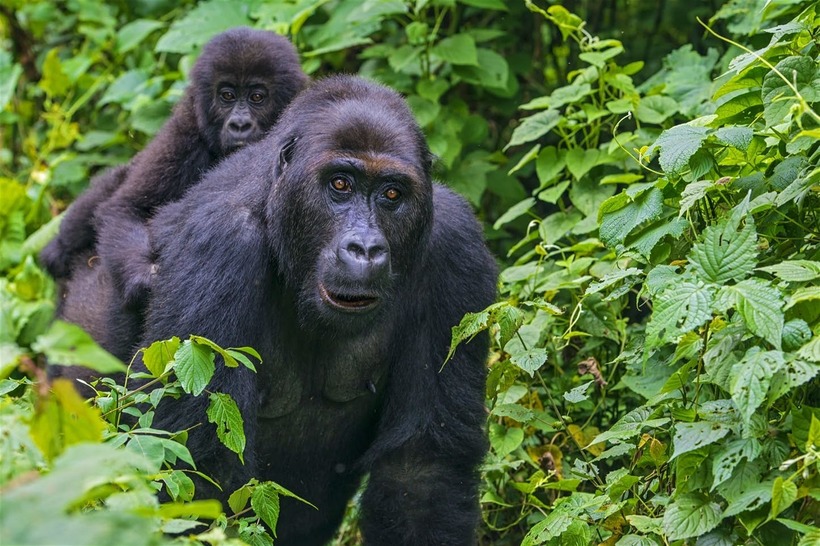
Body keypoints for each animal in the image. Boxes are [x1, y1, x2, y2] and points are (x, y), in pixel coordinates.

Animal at [139, 74, 496, 540]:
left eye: (392, 194)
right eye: (340, 185)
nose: (365, 248)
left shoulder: (457, 249)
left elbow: (422, 470)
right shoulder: (219, 241)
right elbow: (198, 473)